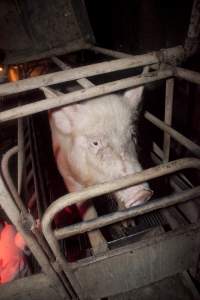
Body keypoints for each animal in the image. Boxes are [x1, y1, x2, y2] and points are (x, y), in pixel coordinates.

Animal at [48, 86, 153, 251]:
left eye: (132, 134)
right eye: (95, 143)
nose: (142, 194)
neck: (93, 182)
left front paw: (128, 224)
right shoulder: (70, 180)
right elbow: (89, 216)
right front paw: (101, 249)